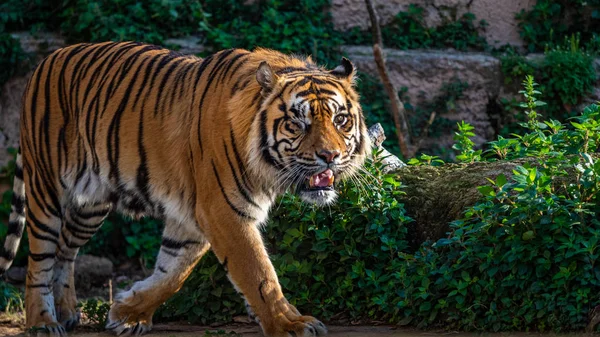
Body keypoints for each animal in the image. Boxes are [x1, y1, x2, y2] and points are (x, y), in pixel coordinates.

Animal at [0, 42, 368, 336]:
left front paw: (127, 312)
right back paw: (42, 323)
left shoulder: (192, 219)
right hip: (46, 188)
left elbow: (172, 274)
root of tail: (46, 61)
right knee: (39, 259)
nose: (330, 156)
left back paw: (68, 312)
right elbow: (259, 274)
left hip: (90, 206)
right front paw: (289, 324)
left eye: (340, 120)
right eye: (297, 123)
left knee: (65, 251)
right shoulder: (223, 212)